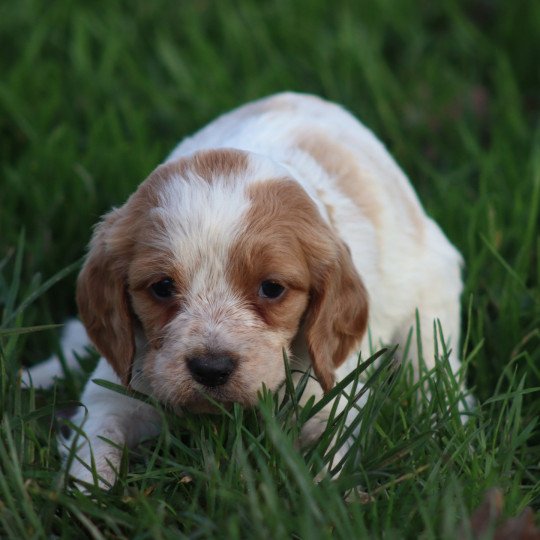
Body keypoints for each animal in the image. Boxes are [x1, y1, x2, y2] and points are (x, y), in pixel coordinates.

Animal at [25, 94, 466, 490]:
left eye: (271, 288)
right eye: (162, 287)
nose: (211, 369)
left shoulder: (327, 396)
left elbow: (327, 459)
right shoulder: (122, 385)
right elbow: (94, 448)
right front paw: (86, 503)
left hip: (433, 295)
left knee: (432, 367)